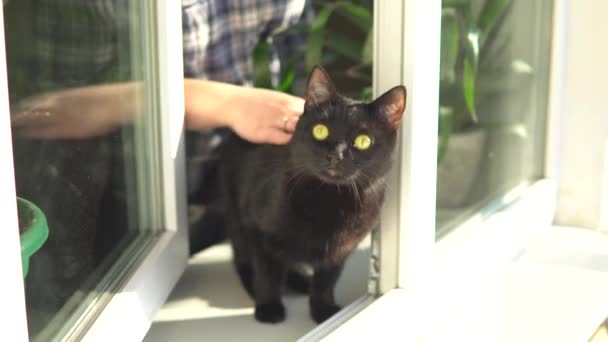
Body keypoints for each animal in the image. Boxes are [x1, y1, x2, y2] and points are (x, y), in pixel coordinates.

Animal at [216, 66, 406, 324]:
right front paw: (268, 307)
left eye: (363, 141)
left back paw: (302, 282)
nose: (336, 155)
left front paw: (322, 309)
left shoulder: (340, 250)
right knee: (244, 260)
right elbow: (266, 273)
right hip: (235, 213)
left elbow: (326, 281)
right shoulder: (257, 228)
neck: (330, 201)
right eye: (320, 130)